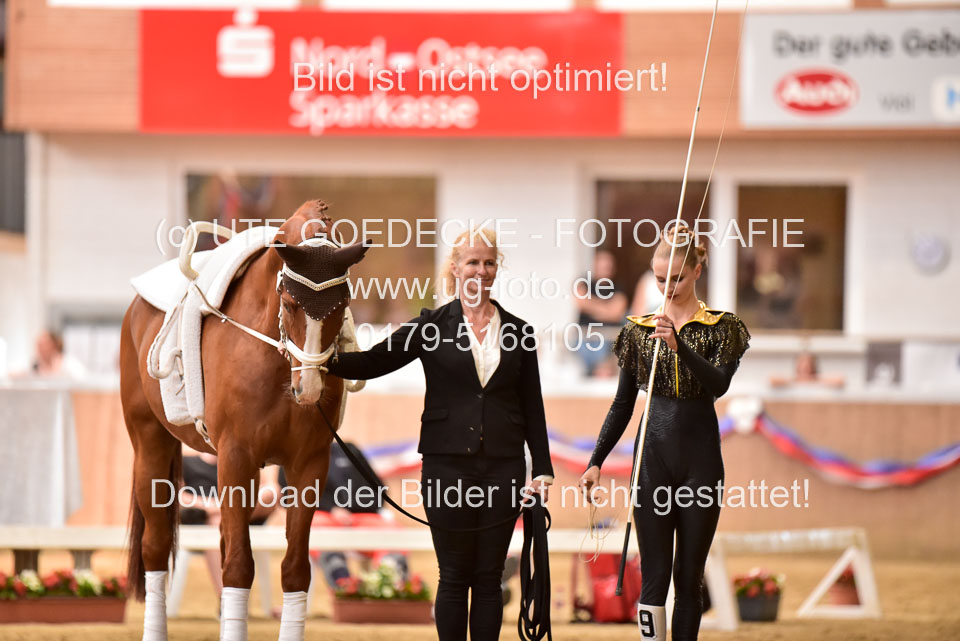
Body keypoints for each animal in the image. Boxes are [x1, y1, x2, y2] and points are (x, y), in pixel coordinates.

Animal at [119, 199, 368, 641]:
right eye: (290, 303)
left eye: (343, 305)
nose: (309, 390)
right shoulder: (237, 457)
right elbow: (238, 566)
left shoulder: (309, 465)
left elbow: (295, 569)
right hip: (150, 444)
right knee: (156, 546)